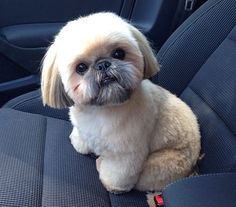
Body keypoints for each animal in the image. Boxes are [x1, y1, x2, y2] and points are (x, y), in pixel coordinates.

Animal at [41, 12, 201, 193]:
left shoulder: (126, 154)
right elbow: (82, 137)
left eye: (119, 53)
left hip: (159, 165)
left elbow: (117, 174)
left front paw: (111, 185)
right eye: (81, 68)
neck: (100, 109)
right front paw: (80, 143)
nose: (103, 64)